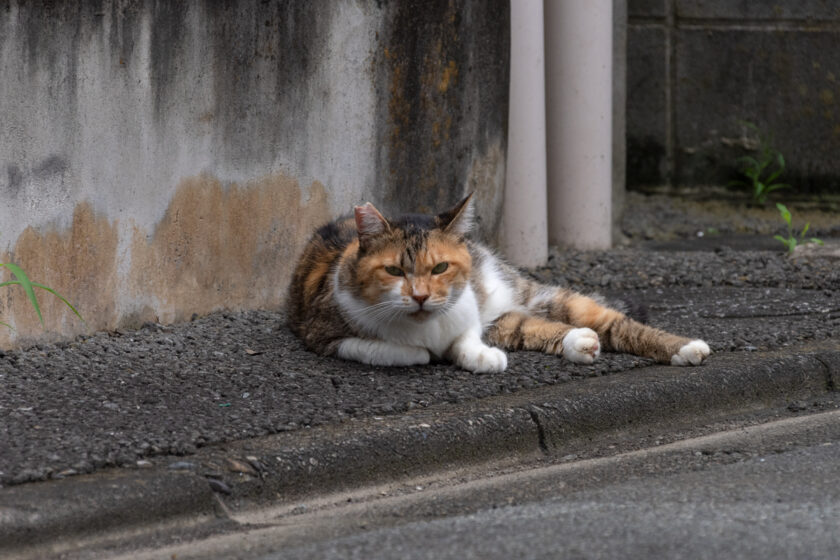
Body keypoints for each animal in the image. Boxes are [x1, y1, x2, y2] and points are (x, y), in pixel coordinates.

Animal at [288, 195, 708, 374]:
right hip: (506, 319)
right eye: (393, 271)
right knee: (537, 328)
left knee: (614, 324)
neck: (426, 325)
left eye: (440, 267)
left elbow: (464, 339)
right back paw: (580, 343)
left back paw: (686, 348)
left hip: (534, 297)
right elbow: (401, 351)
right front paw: (431, 352)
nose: (421, 297)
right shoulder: (325, 334)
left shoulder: (467, 314)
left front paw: (480, 356)